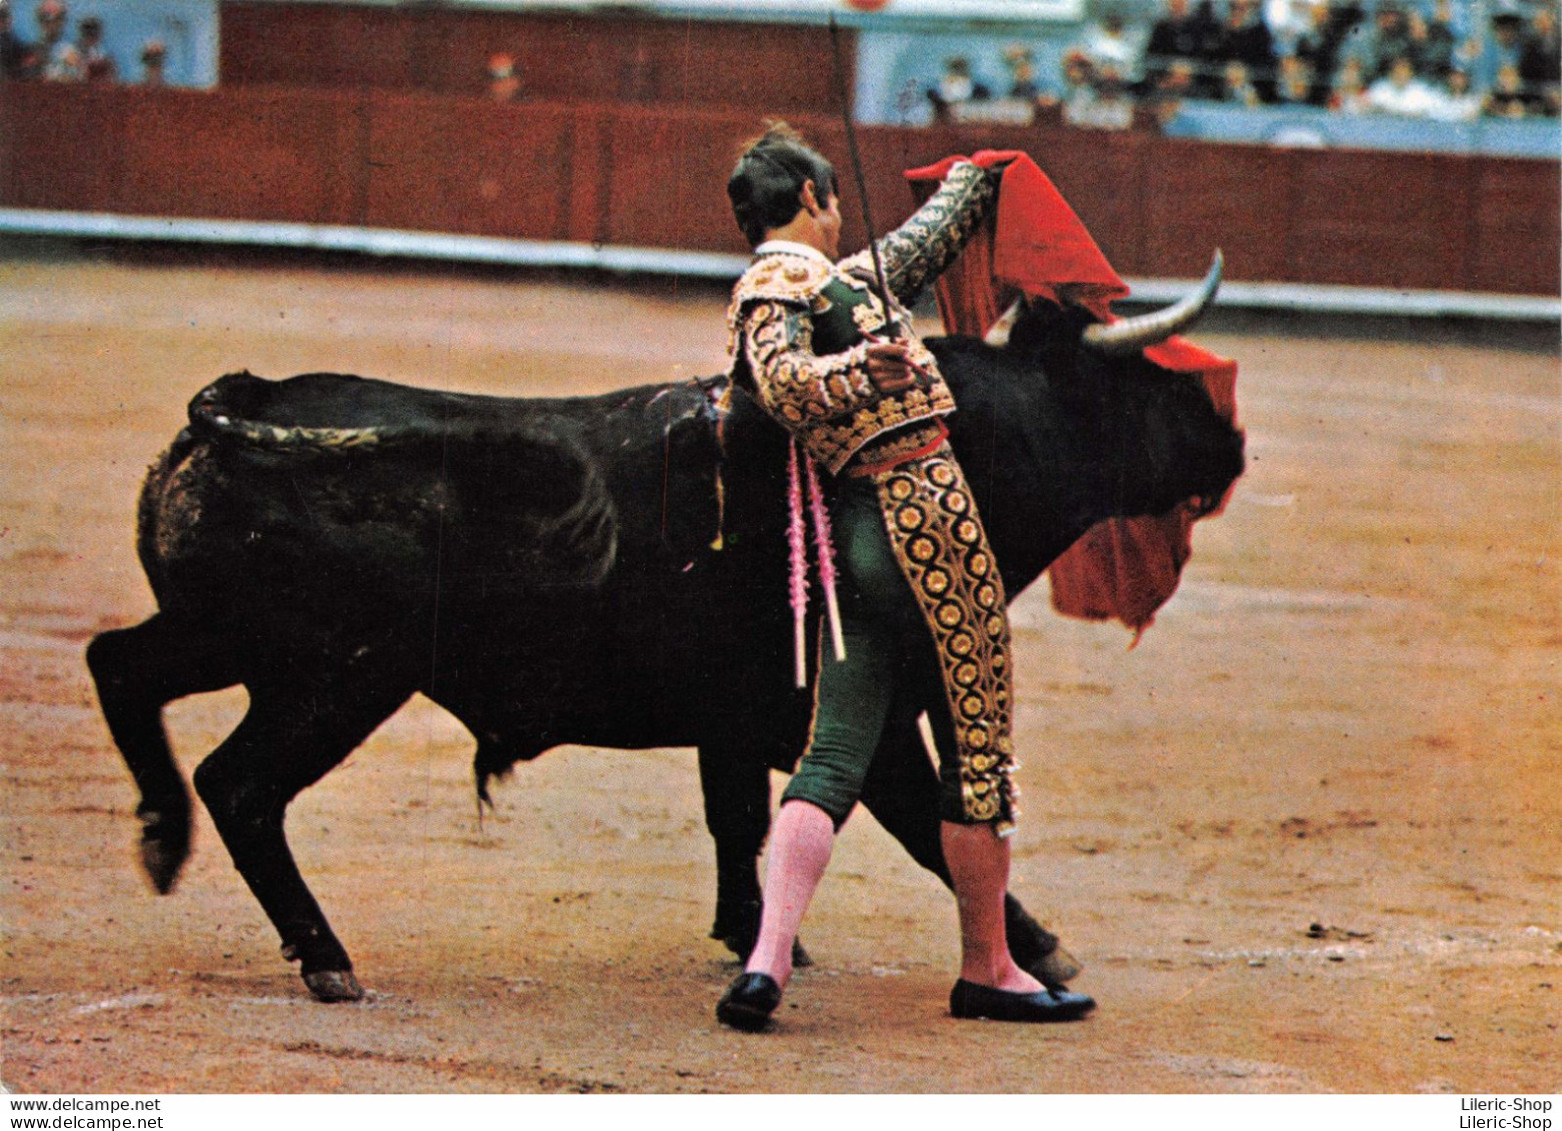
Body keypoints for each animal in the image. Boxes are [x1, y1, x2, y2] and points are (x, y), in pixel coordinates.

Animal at [85, 260, 1237, 999]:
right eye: (1141, 378)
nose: (1227, 441)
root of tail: (239, 402)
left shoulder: (734, 720)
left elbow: (743, 820)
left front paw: (759, 941)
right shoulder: (848, 713)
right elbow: (917, 822)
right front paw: (1041, 950)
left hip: (232, 639)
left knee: (119, 666)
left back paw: (160, 838)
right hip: (335, 677)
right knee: (241, 784)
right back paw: (325, 955)